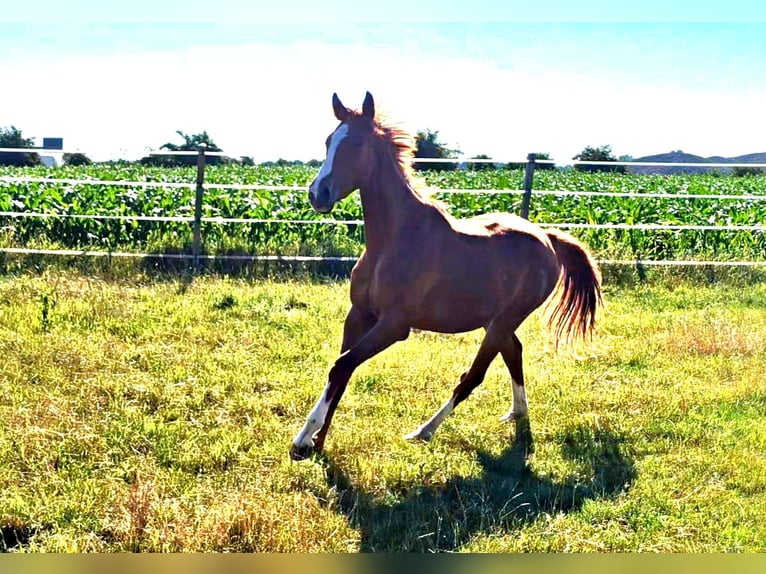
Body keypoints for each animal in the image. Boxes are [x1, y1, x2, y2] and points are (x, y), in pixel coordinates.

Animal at [289, 92, 602, 461]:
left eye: (357, 143)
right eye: (328, 141)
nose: (317, 194)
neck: (394, 240)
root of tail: (548, 239)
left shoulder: (394, 325)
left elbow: (341, 366)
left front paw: (302, 441)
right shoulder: (359, 314)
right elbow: (341, 371)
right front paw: (318, 442)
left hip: (504, 320)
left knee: (475, 375)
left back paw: (423, 431)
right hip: (494, 320)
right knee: (513, 352)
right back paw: (516, 412)